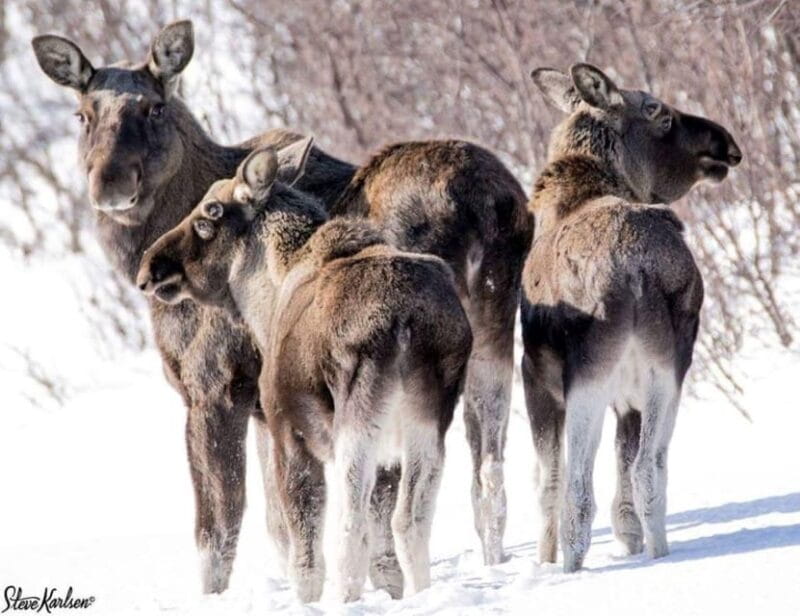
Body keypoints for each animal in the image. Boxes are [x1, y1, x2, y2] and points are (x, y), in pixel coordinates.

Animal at [136, 138, 473, 602]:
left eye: (210, 214)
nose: (150, 268)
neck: (266, 294)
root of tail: (404, 322)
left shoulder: (286, 429)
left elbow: (303, 547)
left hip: (358, 416)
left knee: (351, 528)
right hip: (430, 417)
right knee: (410, 520)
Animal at [521, 63, 742, 572]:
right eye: (660, 113)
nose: (724, 143)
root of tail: (633, 269)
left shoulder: (535, 377)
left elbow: (548, 484)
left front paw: (543, 560)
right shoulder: (628, 396)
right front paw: (631, 541)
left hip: (589, 375)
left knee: (579, 492)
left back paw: (572, 568)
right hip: (669, 366)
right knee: (650, 469)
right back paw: (660, 555)